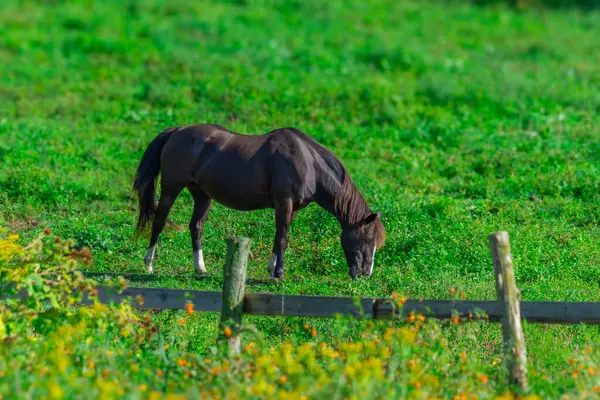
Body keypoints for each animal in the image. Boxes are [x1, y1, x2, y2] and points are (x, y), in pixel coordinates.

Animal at [131, 123, 384, 280]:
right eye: (368, 238)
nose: (365, 274)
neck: (309, 163)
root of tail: (178, 130)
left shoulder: (291, 208)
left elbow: (279, 237)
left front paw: (272, 269)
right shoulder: (284, 202)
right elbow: (282, 238)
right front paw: (279, 274)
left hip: (202, 195)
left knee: (196, 227)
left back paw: (200, 268)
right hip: (171, 188)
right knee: (159, 222)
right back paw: (149, 264)